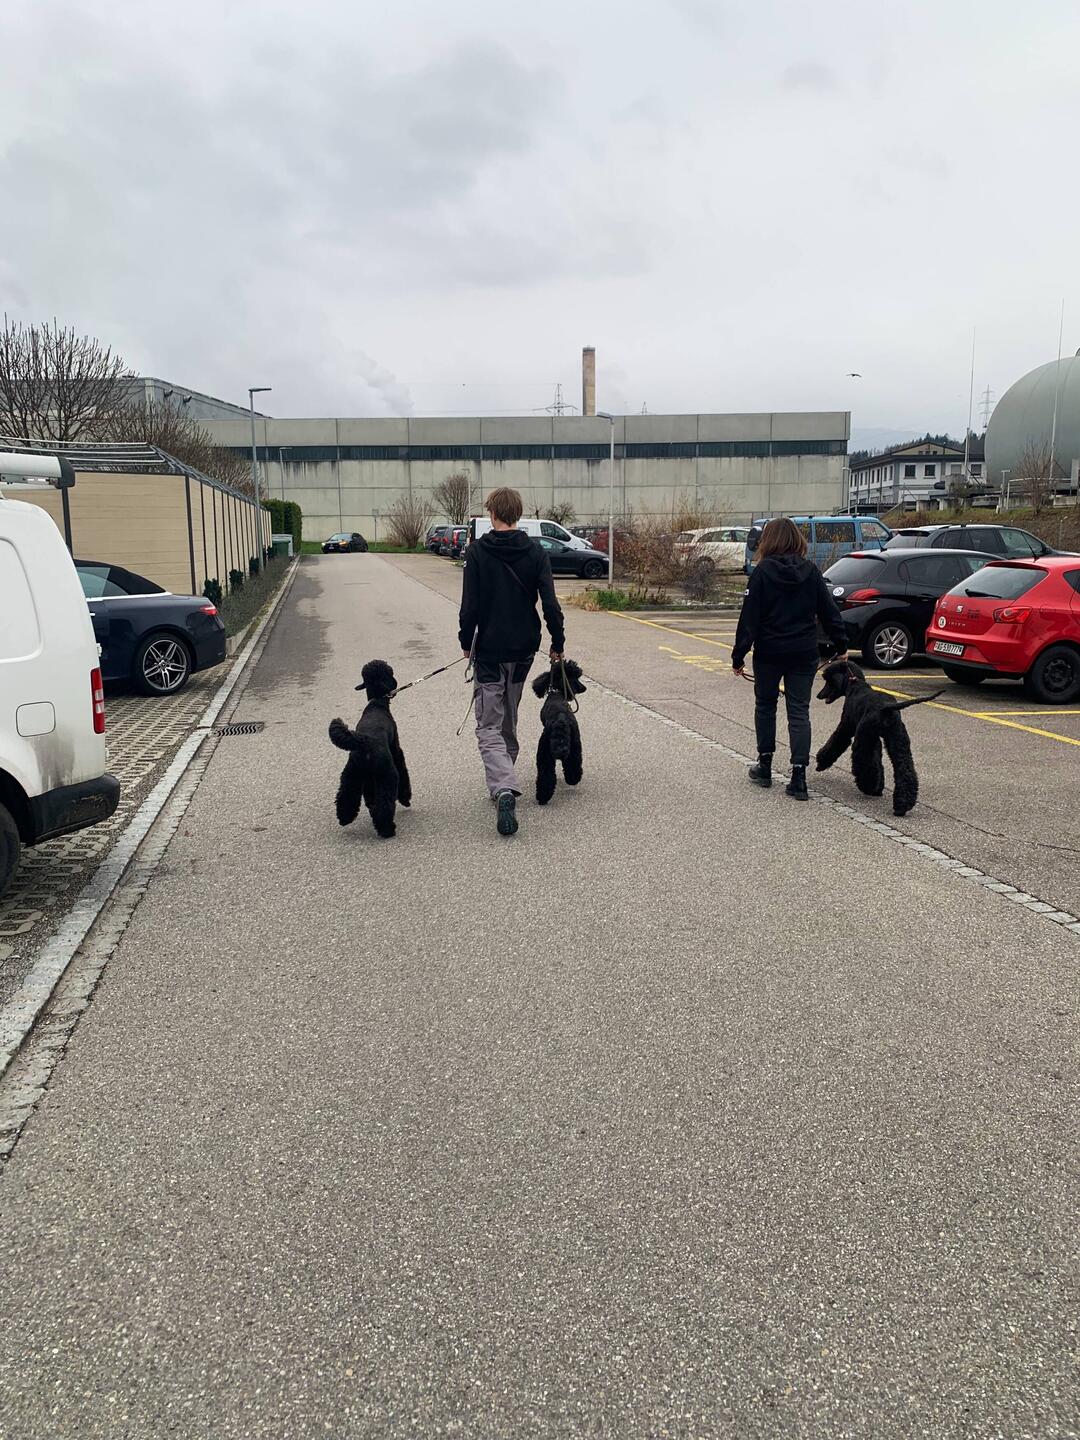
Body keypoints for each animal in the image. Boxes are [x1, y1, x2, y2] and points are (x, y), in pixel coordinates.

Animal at [328, 659, 411, 838]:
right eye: (389, 672)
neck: (377, 703)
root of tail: (363, 741)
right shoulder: (397, 751)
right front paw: (406, 798)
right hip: (387, 775)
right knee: (385, 804)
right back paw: (387, 829)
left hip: (352, 775)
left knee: (346, 797)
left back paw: (344, 818)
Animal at [531, 658, 587, 805]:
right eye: (576, 678)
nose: (584, 688)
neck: (558, 692)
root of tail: (561, 720)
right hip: (575, 745)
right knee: (573, 764)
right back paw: (572, 780)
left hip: (543, 750)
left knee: (545, 774)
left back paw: (542, 797)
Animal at [815, 660, 943, 817]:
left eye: (828, 679)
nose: (819, 695)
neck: (855, 686)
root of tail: (887, 708)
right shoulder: (875, 740)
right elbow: (878, 761)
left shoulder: (846, 728)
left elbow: (835, 743)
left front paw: (821, 763)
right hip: (897, 741)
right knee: (905, 770)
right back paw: (902, 805)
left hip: (863, 740)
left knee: (864, 763)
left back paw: (869, 787)